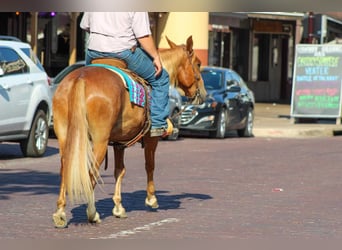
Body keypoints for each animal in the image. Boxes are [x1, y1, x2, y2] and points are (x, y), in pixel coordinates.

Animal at [50, 35, 206, 229]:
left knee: (65, 167)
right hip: (100, 141)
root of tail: (81, 78)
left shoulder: (119, 143)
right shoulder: (151, 138)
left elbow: (119, 170)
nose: (203, 94)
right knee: (92, 171)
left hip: (65, 136)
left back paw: (60, 213)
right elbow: (150, 165)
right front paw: (151, 199)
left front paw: (118, 207)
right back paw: (92, 213)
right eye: (198, 64)